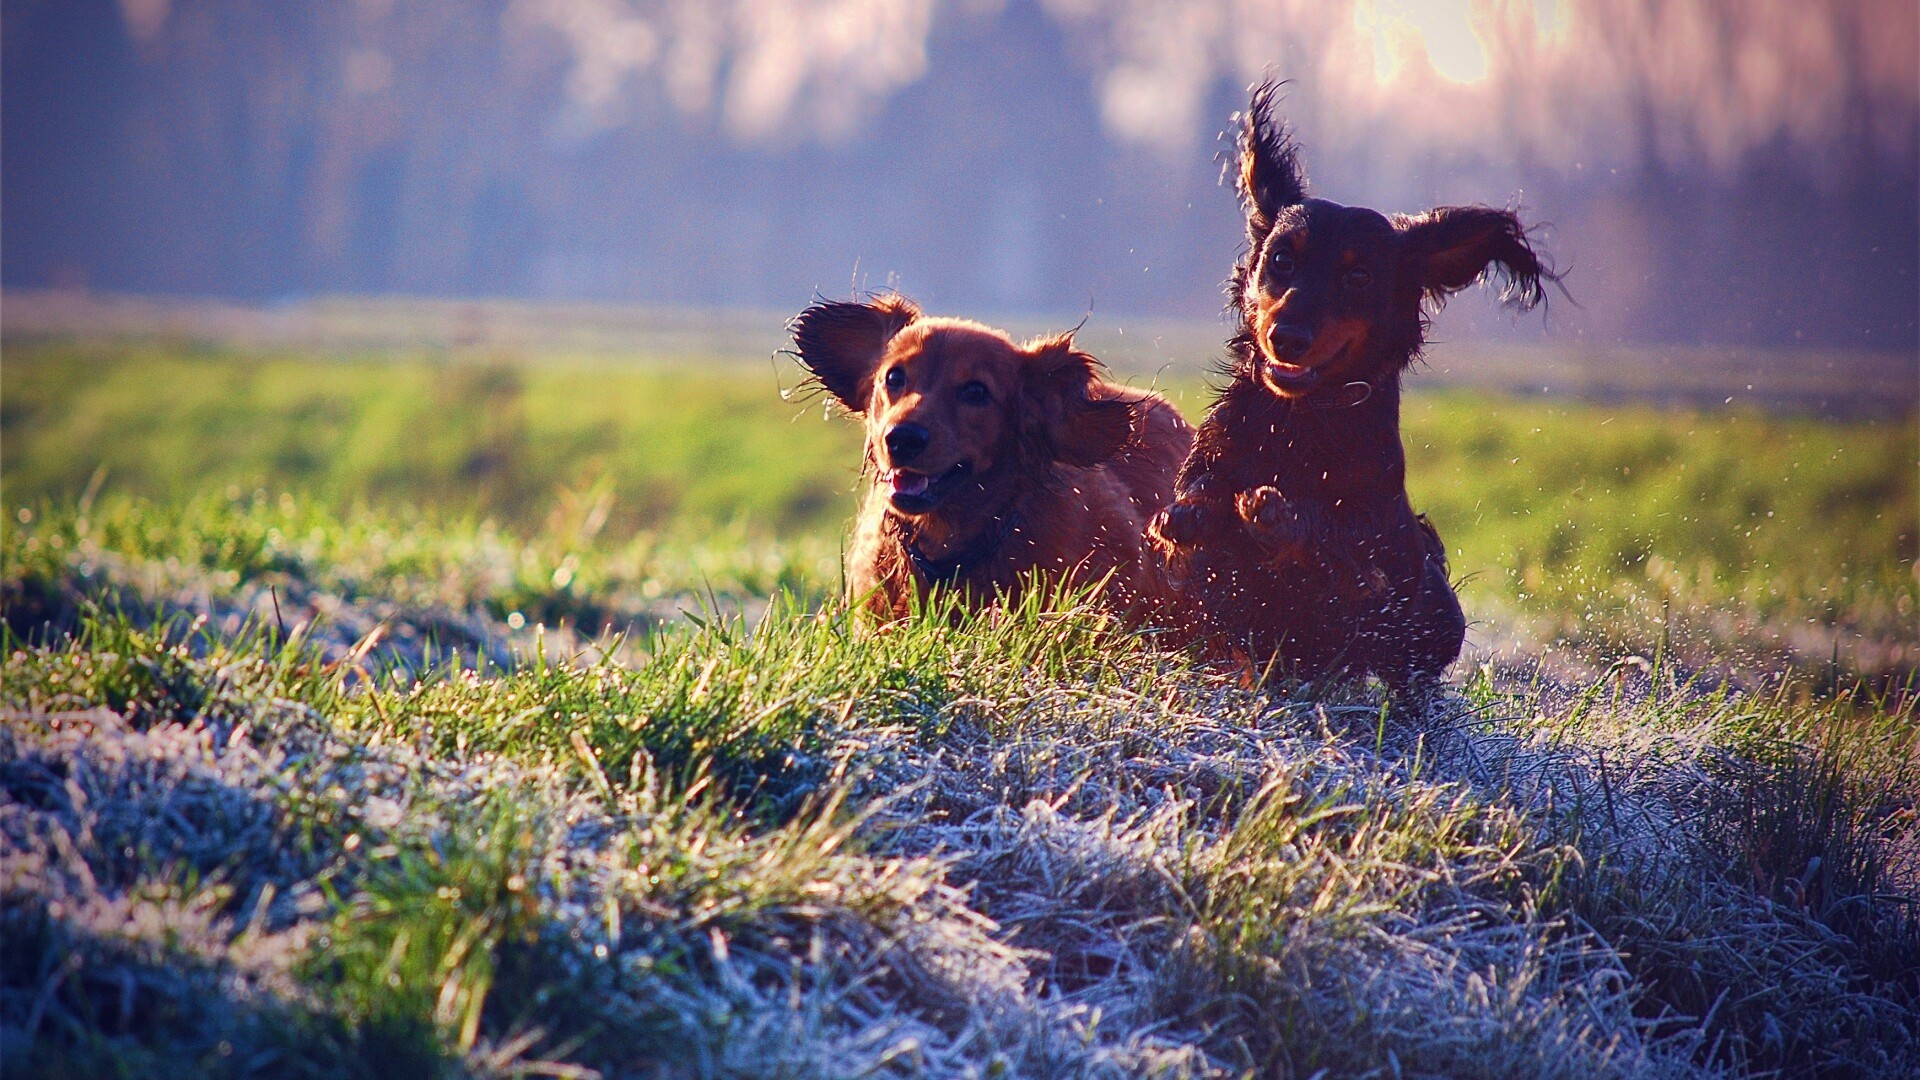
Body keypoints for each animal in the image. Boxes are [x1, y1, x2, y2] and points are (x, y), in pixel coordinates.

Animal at [1144, 79, 1551, 691]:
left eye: (1358, 276)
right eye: (1281, 260)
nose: (1286, 337)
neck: (1299, 420)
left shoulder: (1374, 565)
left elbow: (1339, 552)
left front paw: (1277, 515)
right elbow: (1195, 516)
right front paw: (1195, 514)